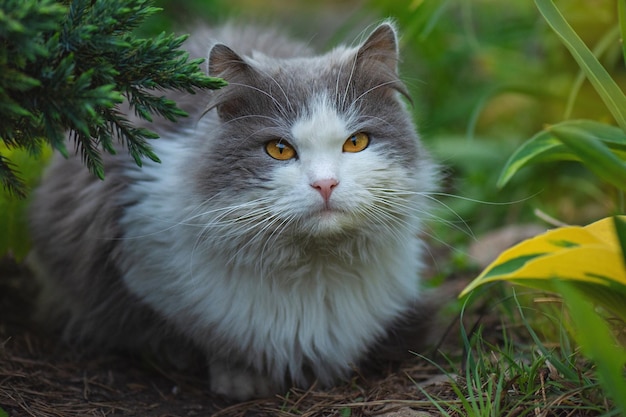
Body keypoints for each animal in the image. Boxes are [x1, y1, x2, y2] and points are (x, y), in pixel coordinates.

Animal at [28, 21, 438, 398]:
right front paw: (241, 379)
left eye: (355, 143)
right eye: (279, 149)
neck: (316, 271)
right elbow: (209, 339)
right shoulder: (139, 250)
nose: (325, 184)